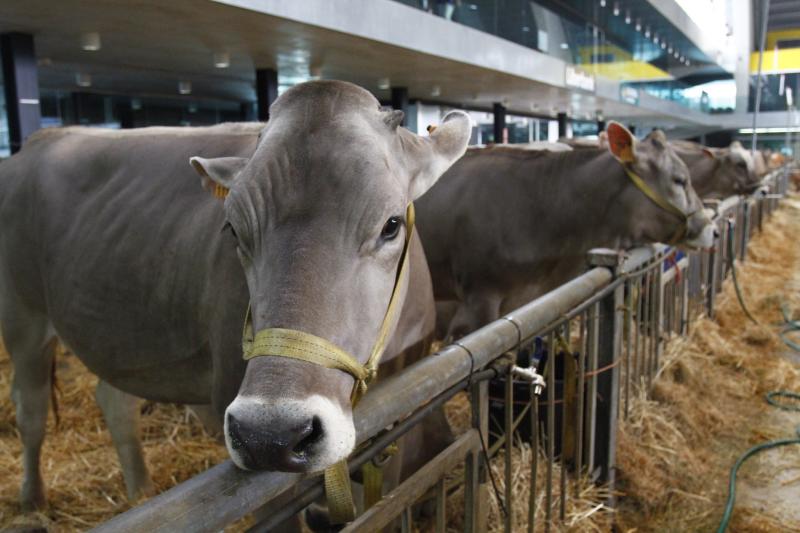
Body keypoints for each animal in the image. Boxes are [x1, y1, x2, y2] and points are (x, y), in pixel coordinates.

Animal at [0, 80, 472, 512]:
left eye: (391, 225)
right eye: (233, 230)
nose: (271, 433)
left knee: (115, 399)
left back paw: (140, 491)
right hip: (21, 316)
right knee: (31, 410)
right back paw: (32, 500)